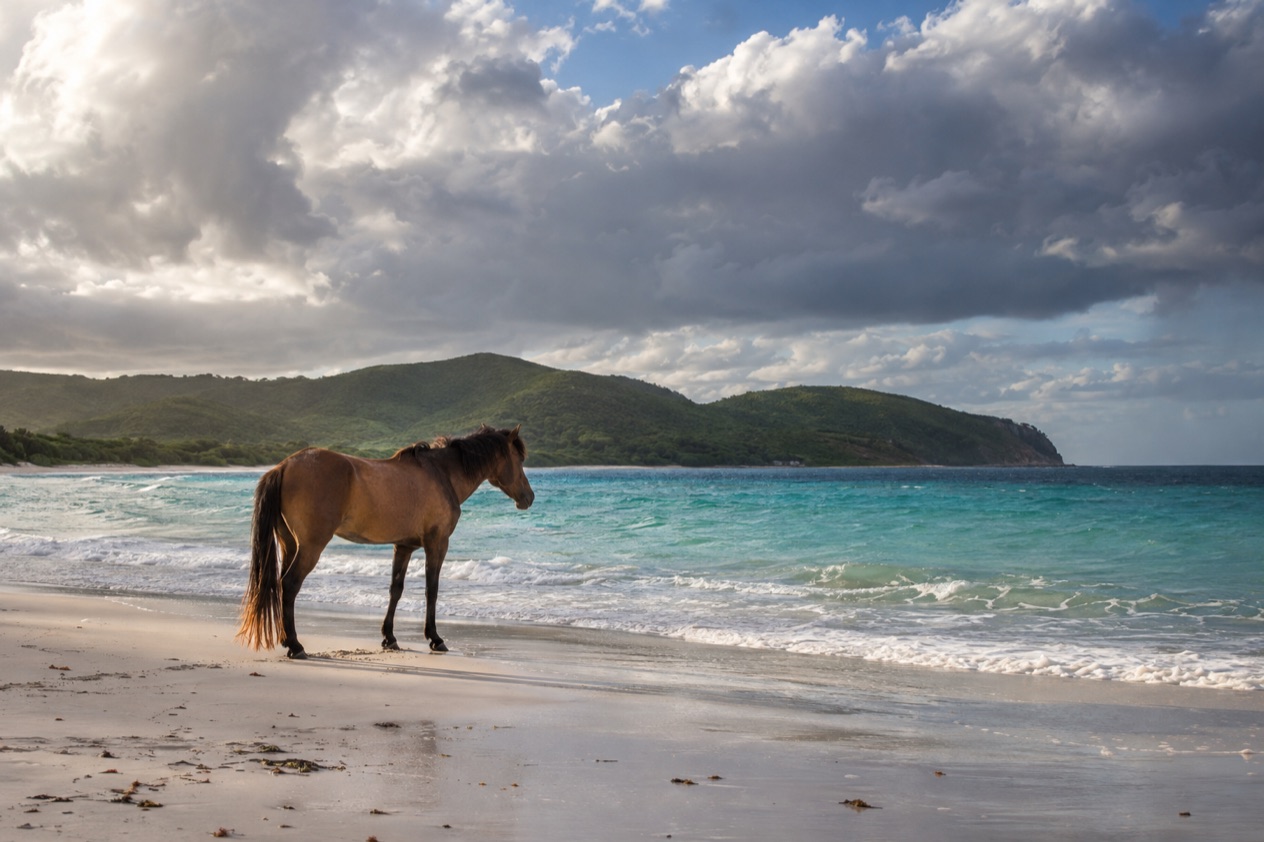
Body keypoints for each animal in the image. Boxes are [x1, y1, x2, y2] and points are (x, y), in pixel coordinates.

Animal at [236, 425, 534, 659]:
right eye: (519, 459)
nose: (529, 498)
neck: (442, 474)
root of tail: (284, 465)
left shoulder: (403, 546)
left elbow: (396, 589)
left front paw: (389, 638)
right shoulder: (437, 543)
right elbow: (432, 590)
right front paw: (435, 638)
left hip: (288, 543)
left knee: (280, 584)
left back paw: (286, 639)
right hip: (310, 546)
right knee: (289, 584)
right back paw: (296, 646)